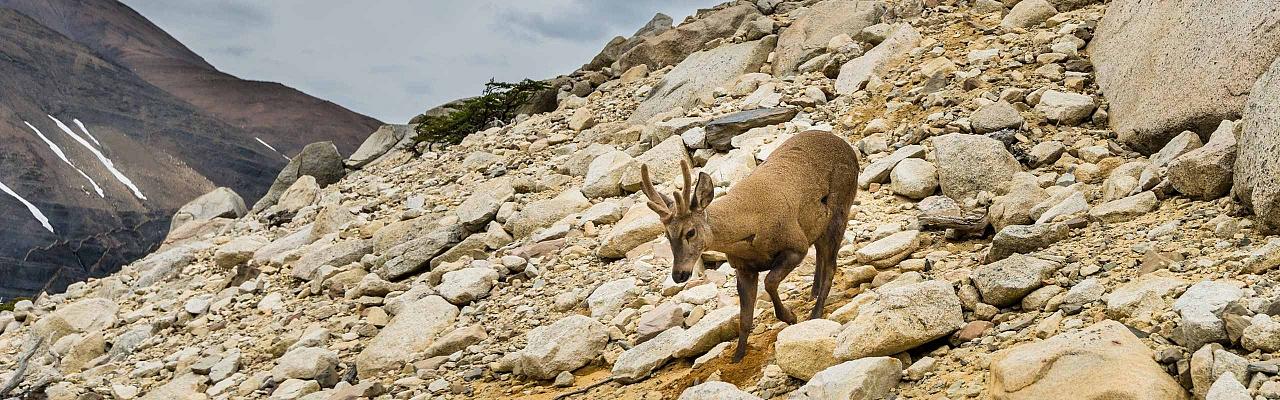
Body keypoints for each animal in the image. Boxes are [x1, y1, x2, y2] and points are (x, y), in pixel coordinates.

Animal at [640, 128, 860, 361]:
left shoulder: (796, 244)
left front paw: (790, 317)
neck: (749, 232)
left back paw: (815, 313)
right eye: (667, 235)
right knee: (820, 253)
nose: (679, 275)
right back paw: (813, 293)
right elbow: (744, 318)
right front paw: (737, 357)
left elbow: (770, 282)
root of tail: (847, 147)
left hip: (840, 209)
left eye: (690, 231)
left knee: (831, 266)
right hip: (817, 226)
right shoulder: (743, 267)